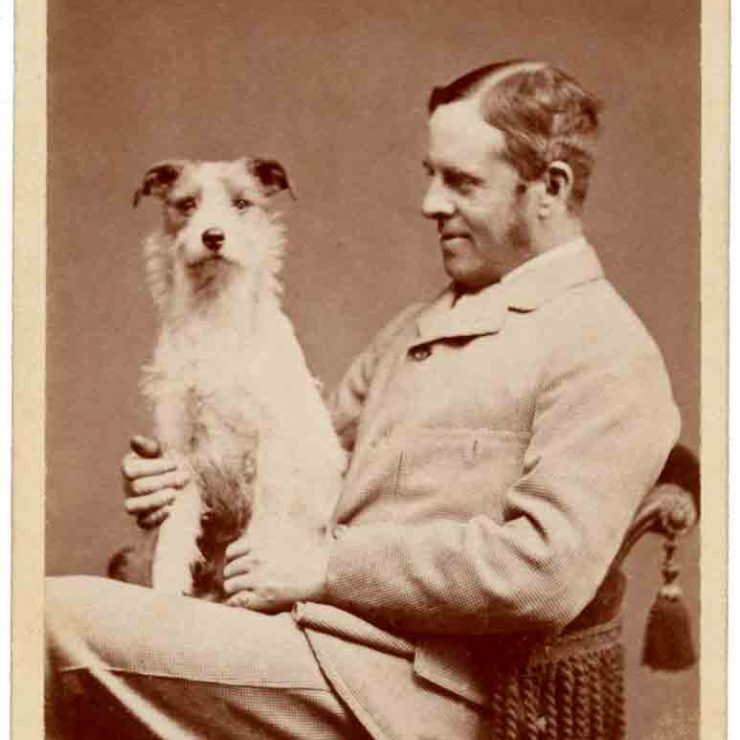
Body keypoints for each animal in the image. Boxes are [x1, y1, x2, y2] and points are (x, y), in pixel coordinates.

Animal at [129, 157, 345, 601]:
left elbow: (265, 520)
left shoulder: (271, 447)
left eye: (242, 203)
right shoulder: (179, 452)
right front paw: (166, 592)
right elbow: (174, 533)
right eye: (187, 204)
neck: (216, 318)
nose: (213, 236)